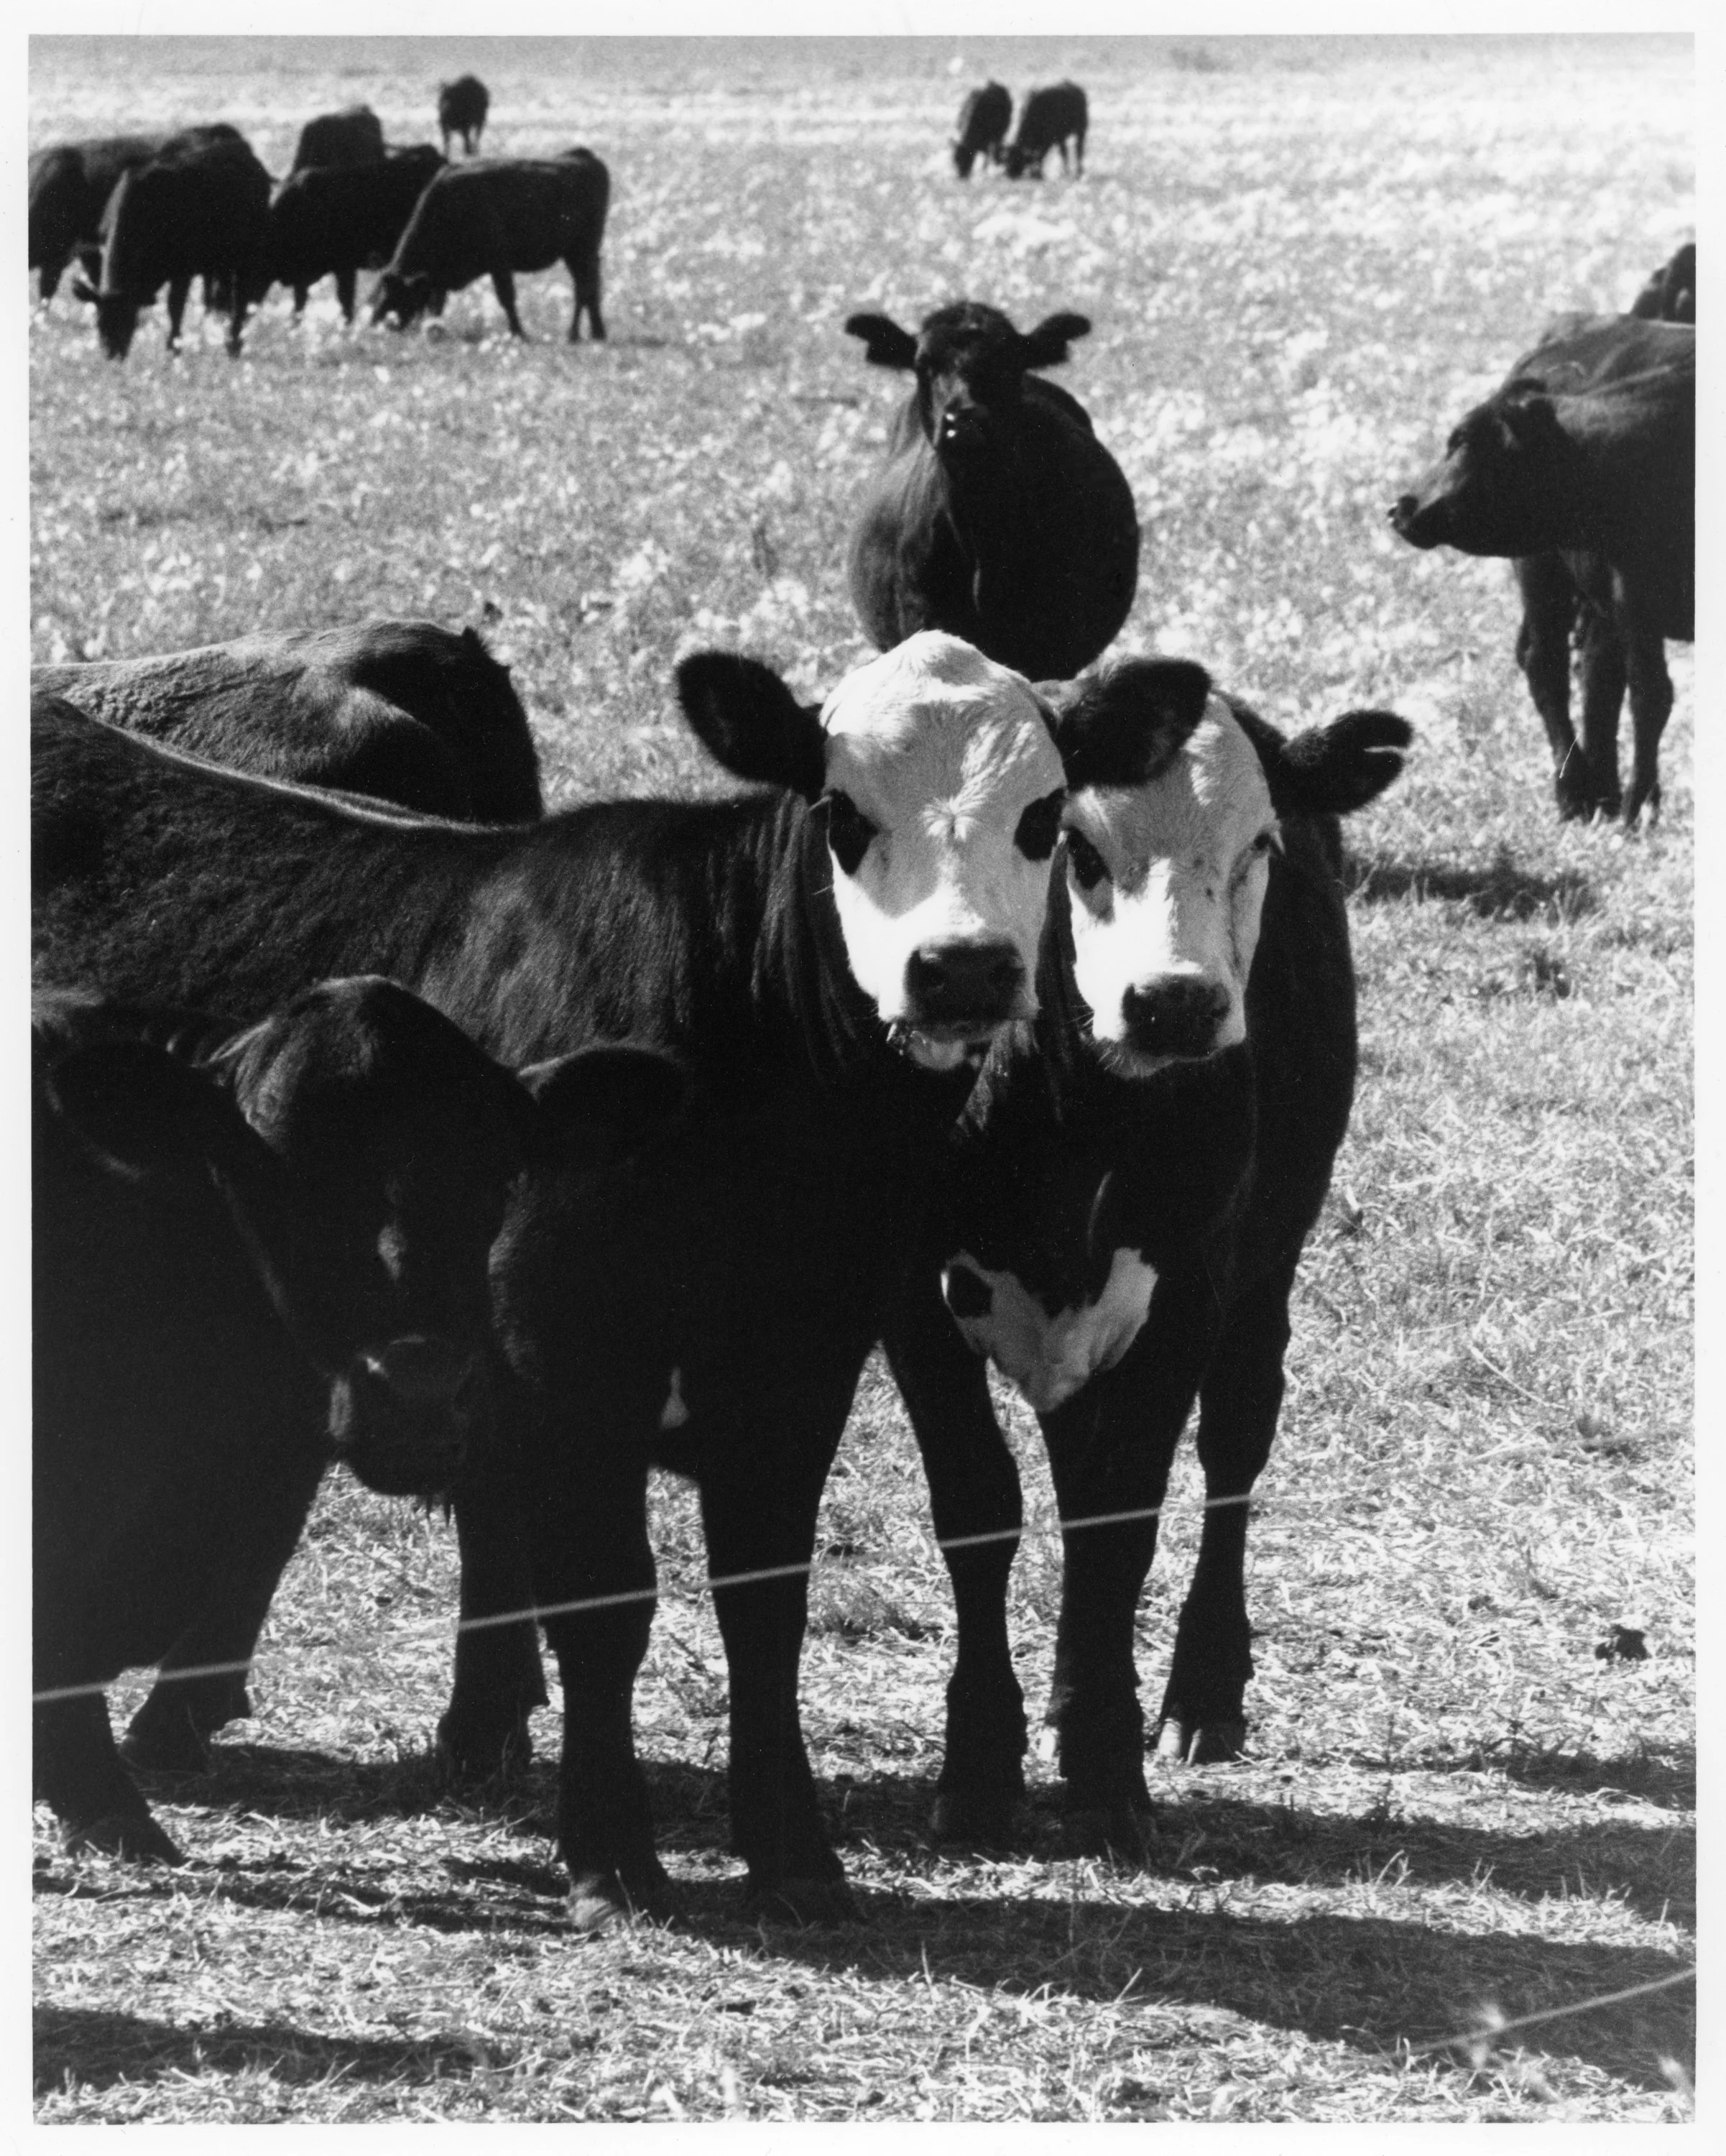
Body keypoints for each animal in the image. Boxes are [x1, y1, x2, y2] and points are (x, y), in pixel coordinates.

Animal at [70, 129, 272, 359]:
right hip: (220, 262)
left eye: (128, 316)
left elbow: (175, 307)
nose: (112, 354)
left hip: (248, 253)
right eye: (99, 321)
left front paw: (173, 349)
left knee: (240, 297)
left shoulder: (182, 270)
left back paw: (234, 343)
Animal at [370, 152, 608, 343]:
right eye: (380, 292)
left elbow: (507, 299)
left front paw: (518, 333)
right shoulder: (440, 279)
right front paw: (435, 330)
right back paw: (597, 333)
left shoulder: (499, 265)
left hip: (582, 251)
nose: (378, 324)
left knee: (584, 289)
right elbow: (437, 304)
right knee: (591, 288)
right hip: (578, 255)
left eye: (397, 295)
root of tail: (585, 157)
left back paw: (574, 334)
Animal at [879, 660, 1412, 1852]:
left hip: (1269, 1259)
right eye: (1070, 844)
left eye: (1258, 843)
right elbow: (979, 1507)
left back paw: (1201, 1693)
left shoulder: (1190, 1293)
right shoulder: (908, 1299)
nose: (1174, 1002)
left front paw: (1104, 1767)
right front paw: (979, 1761)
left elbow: (1121, 1518)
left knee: (1235, 1440)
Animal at [1002, 82, 1088, 179]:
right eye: (1008, 159)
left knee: (1079, 150)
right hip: (1063, 137)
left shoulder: (1049, 139)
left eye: (1018, 158)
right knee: (1064, 152)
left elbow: (1040, 155)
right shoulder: (1057, 138)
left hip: (1081, 130)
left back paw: (1078, 172)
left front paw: (1038, 174)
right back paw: (1065, 172)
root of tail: (1079, 91)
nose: (1010, 173)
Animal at [1390, 314, 1693, 824]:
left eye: (1462, 440)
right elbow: (1651, 697)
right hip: (1542, 573)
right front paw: (1640, 807)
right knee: (1547, 667)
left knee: (1596, 675)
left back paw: (1603, 793)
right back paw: (1577, 794)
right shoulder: (1633, 598)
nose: (1402, 507)